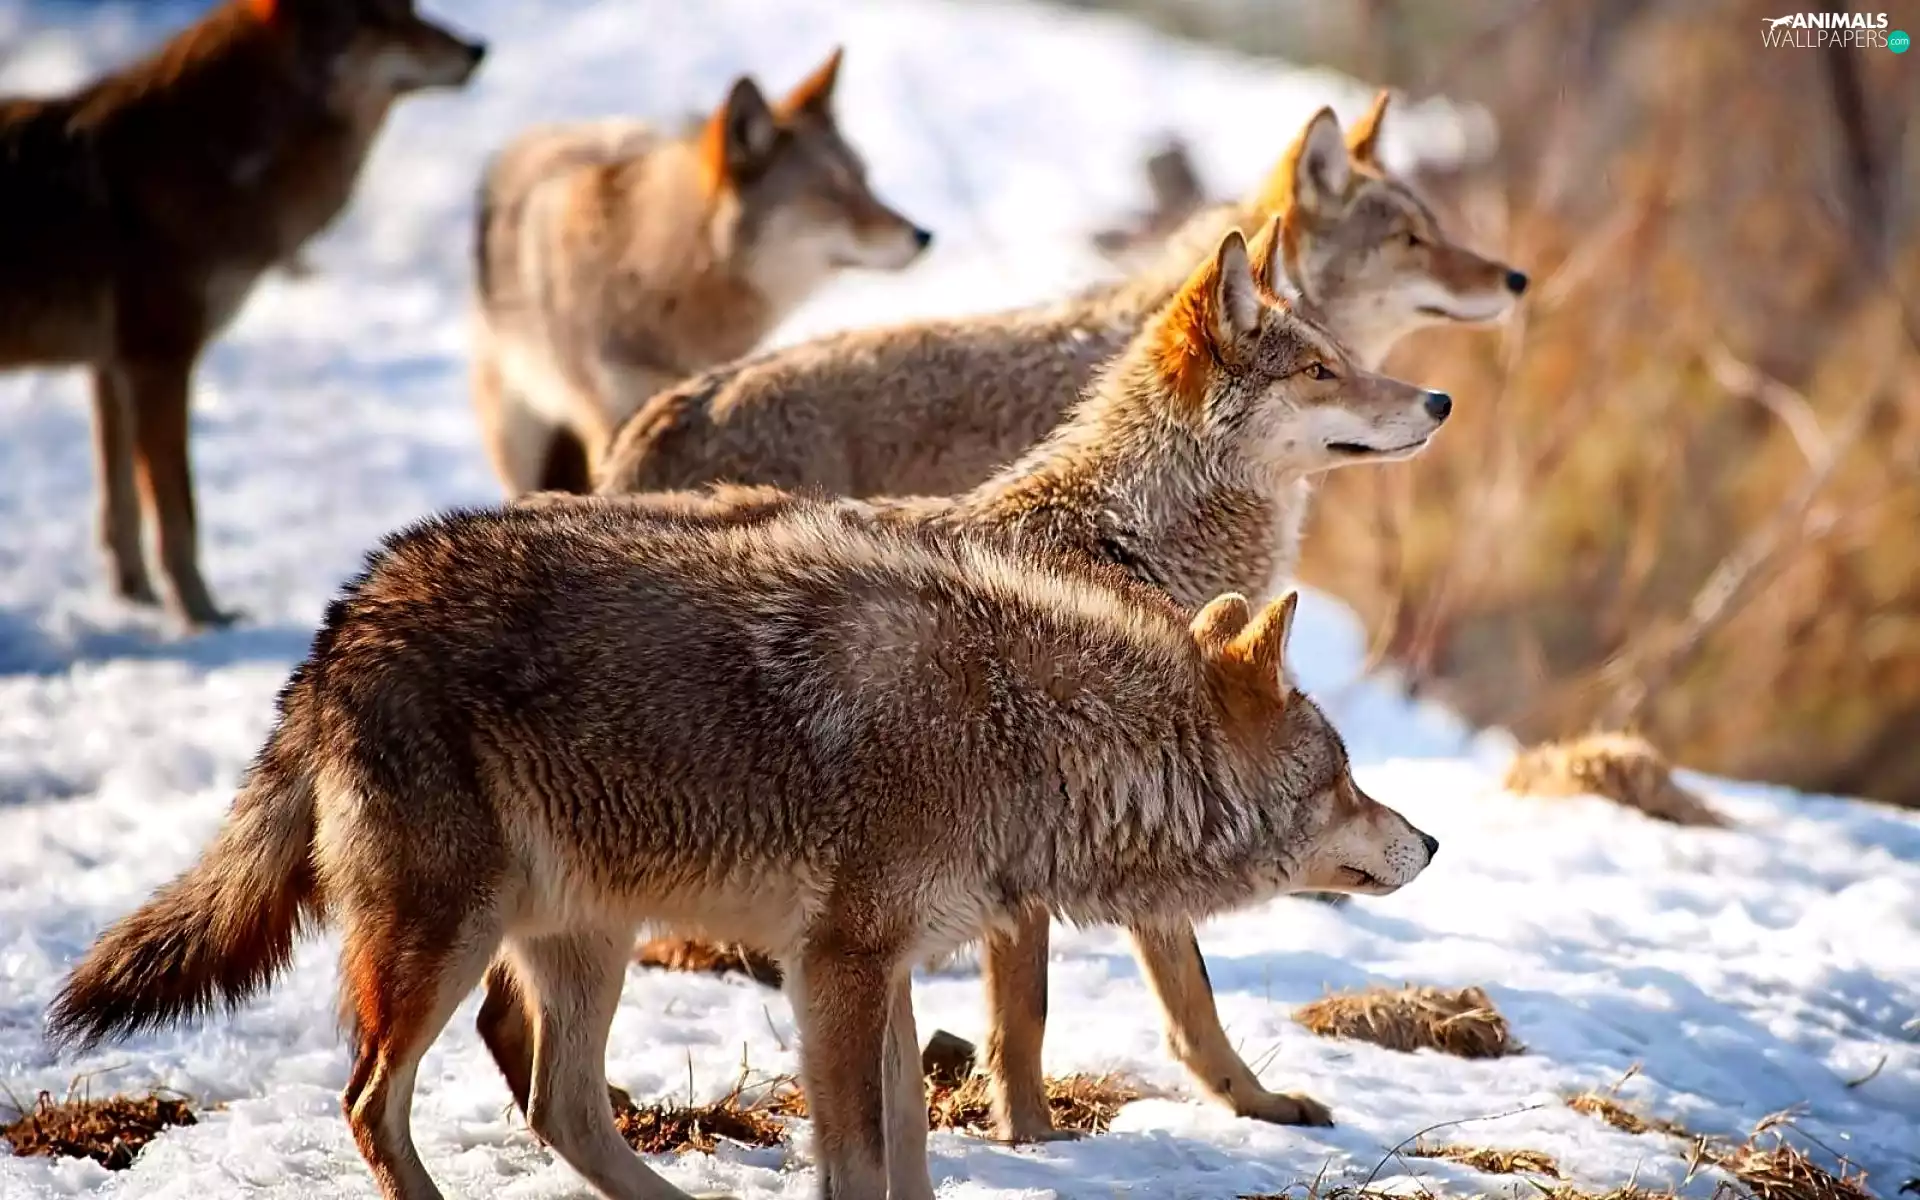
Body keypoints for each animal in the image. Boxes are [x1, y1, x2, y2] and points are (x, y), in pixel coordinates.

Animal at [0, 0, 485, 627]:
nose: (476, 49)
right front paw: (202, 616)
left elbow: (121, 507)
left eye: (410, 9)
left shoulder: (110, 367)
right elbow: (178, 513)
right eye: (379, 18)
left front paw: (136, 603)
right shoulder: (158, 360)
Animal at [47, 498, 1437, 1200]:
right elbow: (863, 1164)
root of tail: (343, 620)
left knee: (562, 1110)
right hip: (450, 942)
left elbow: (910, 1156)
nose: (1426, 836)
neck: (1022, 730)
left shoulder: (874, 969)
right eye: (1345, 776)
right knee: (371, 1106)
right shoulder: (838, 970)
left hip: (584, 940)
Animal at [515, 218, 1453, 1140]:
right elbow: (1038, 1013)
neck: (1119, 545)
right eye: (1319, 371)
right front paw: (1031, 1131)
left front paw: (1253, 1104)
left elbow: (1190, 1000)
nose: (1440, 401)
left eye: (1343, 355)